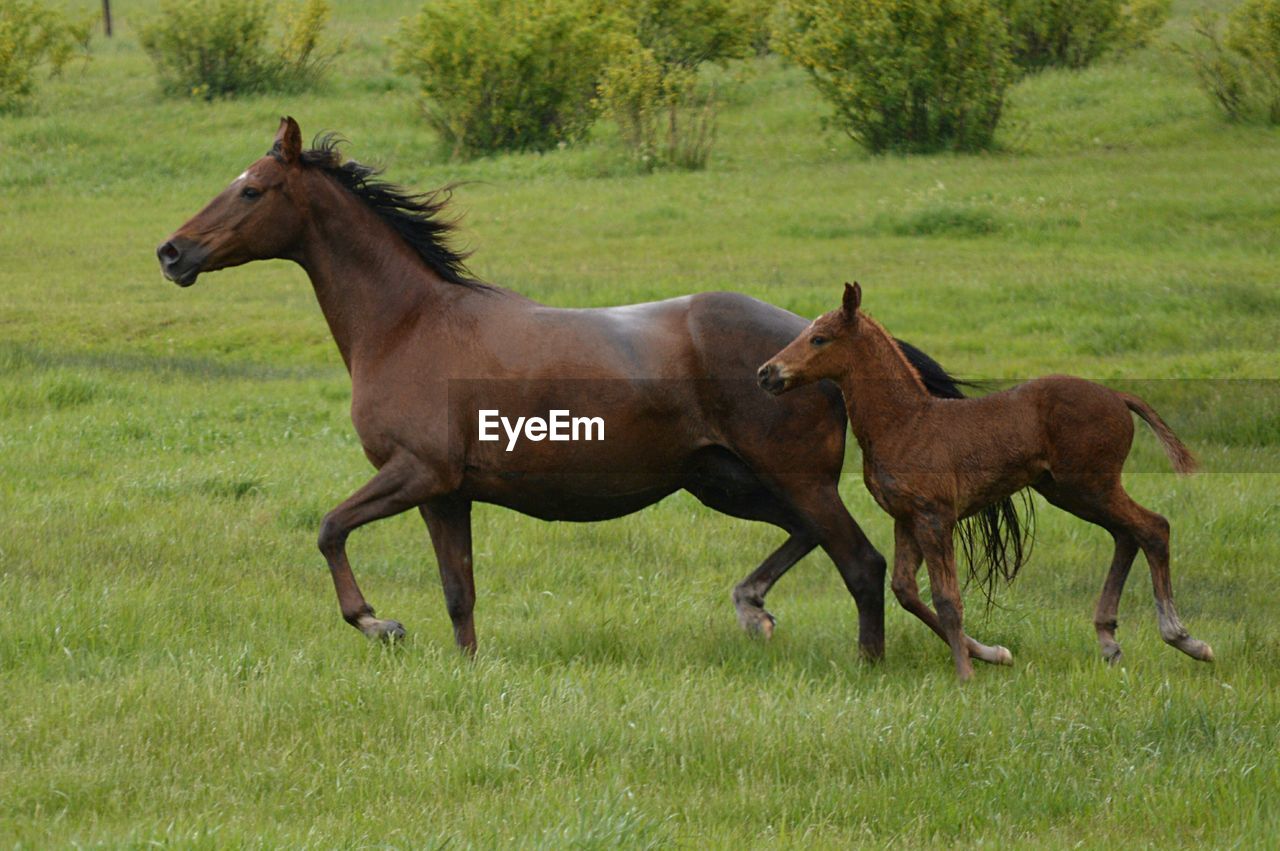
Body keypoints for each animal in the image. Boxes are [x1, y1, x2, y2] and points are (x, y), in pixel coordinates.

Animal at [757, 284, 1208, 675]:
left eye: (819, 338)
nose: (766, 373)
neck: (904, 424)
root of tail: (1119, 398)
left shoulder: (935, 515)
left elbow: (947, 598)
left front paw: (965, 675)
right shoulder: (905, 516)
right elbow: (906, 590)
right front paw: (991, 653)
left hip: (1090, 484)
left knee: (1153, 527)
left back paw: (1185, 639)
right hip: (1068, 491)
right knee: (1126, 534)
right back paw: (1110, 642)